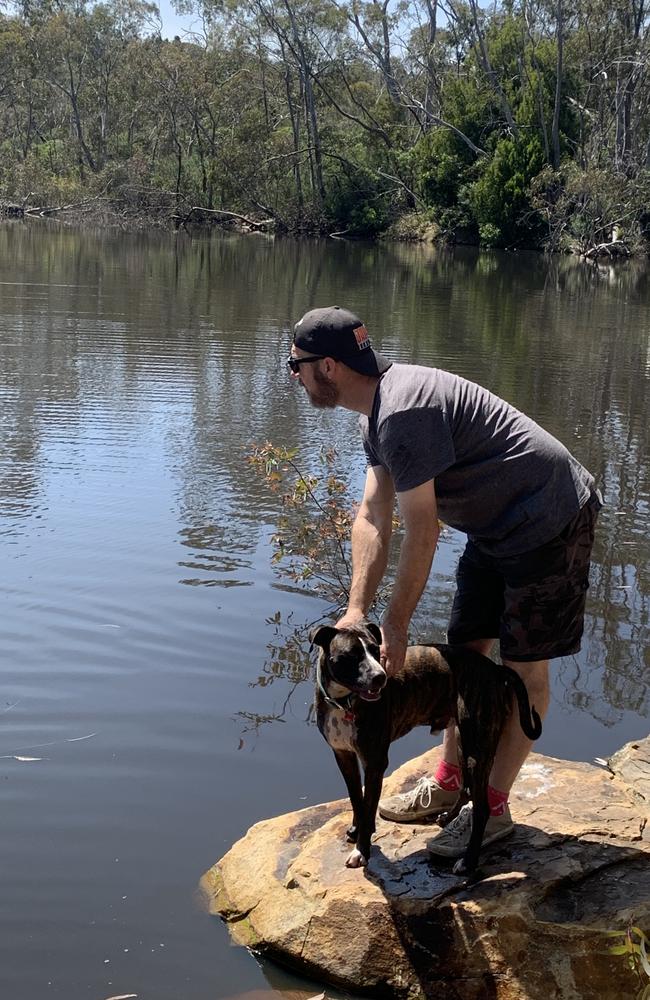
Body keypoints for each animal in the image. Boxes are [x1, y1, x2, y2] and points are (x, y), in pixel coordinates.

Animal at [312, 620, 540, 872]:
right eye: (352, 654)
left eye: (375, 650)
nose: (380, 677)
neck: (343, 702)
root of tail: (496, 670)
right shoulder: (343, 756)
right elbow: (356, 798)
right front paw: (357, 829)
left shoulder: (375, 762)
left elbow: (369, 805)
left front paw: (362, 850)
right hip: (463, 743)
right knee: (466, 788)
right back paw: (448, 818)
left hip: (478, 749)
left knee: (482, 809)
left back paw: (468, 862)